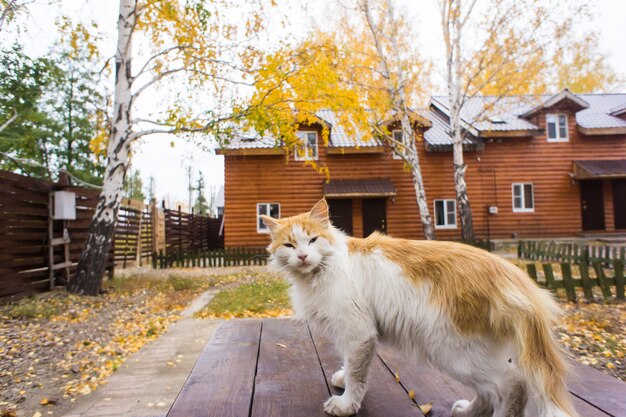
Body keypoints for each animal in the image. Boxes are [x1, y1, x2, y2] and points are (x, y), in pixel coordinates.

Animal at [260, 199, 576, 416]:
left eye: (312, 240)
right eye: (289, 245)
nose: (302, 256)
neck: (321, 271)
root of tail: (510, 272)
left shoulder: (358, 331)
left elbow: (357, 375)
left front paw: (346, 404)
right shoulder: (352, 334)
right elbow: (350, 365)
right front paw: (341, 377)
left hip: (452, 350)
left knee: (512, 384)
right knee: (493, 391)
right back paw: (466, 411)